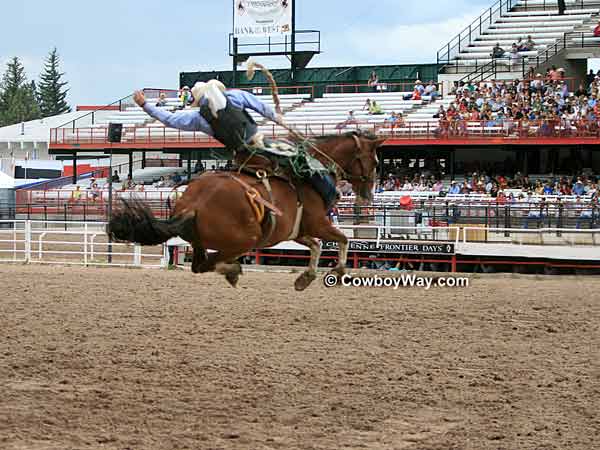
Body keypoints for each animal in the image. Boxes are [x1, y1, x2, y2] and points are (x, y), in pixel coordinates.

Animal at [108, 132, 382, 290]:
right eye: (376, 161)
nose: (368, 194)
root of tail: (193, 204)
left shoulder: (296, 231)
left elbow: (316, 246)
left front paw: (305, 278)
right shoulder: (318, 223)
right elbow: (342, 239)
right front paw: (337, 271)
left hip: (203, 241)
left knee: (200, 264)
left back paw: (231, 271)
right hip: (245, 239)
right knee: (209, 262)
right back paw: (233, 271)